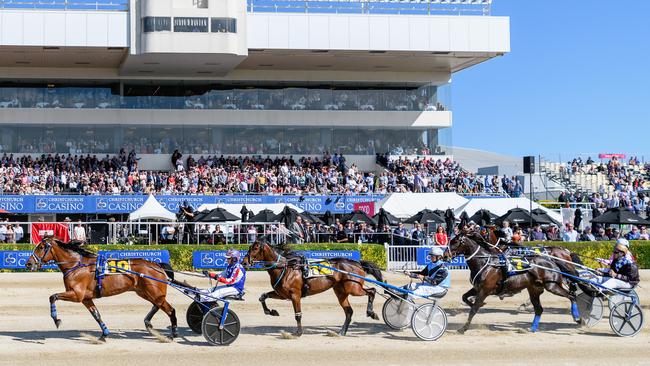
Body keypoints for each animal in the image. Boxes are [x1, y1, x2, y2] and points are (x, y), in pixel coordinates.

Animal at [25, 239, 177, 342]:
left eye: (41, 247)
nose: (29, 264)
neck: (76, 266)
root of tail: (157, 265)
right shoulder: (86, 298)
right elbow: (96, 315)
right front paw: (104, 334)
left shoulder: (76, 295)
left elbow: (53, 296)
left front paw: (56, 319)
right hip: (145, 292)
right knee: (158, 305)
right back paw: (148, 323)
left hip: (153, 292)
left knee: (170, 309)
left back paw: (173, 333)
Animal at [242, 242, 382, 336]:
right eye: (249, 248)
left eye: (255, 248)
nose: (244, 262)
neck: (285, 268)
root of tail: (357, 263)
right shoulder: (282, 294)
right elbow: (263, 296)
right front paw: (271, 311)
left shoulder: (295, 295)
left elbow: (298, 315)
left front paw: (298, 332)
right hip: (341, 292)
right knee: (349, 311)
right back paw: (341, 332)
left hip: (354, 288)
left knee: (372, 291)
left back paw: (371, 312)